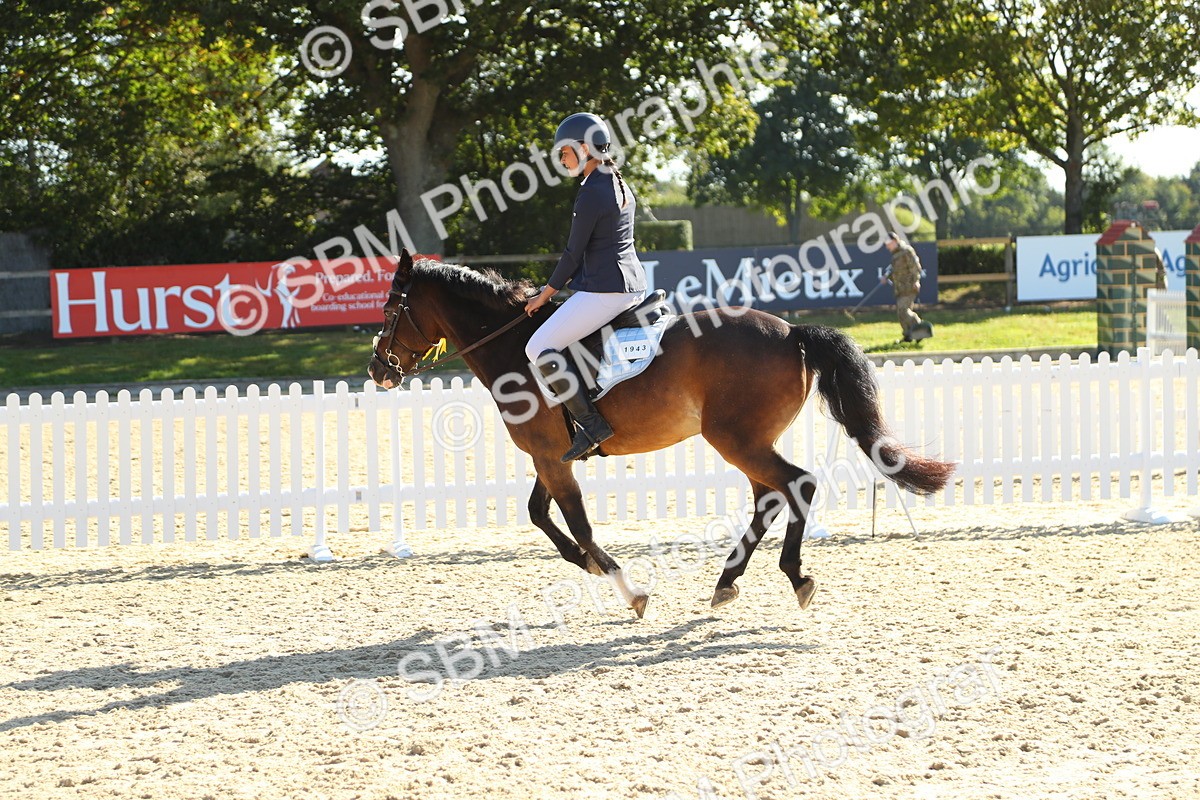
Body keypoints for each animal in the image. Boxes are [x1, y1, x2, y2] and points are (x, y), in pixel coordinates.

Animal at [367, 250, 955, 618]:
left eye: (391, 309)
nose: (377, 370)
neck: (512, 346)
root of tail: (791, 332)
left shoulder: (551, 458)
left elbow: (578, 525)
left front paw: (629, 592)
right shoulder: (550, 456)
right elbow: (539, 515)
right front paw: (589, 566)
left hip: (736, 439)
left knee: (796, 485)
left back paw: (794, 575)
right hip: (745, 441)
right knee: (769, 496)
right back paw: (726, 583)